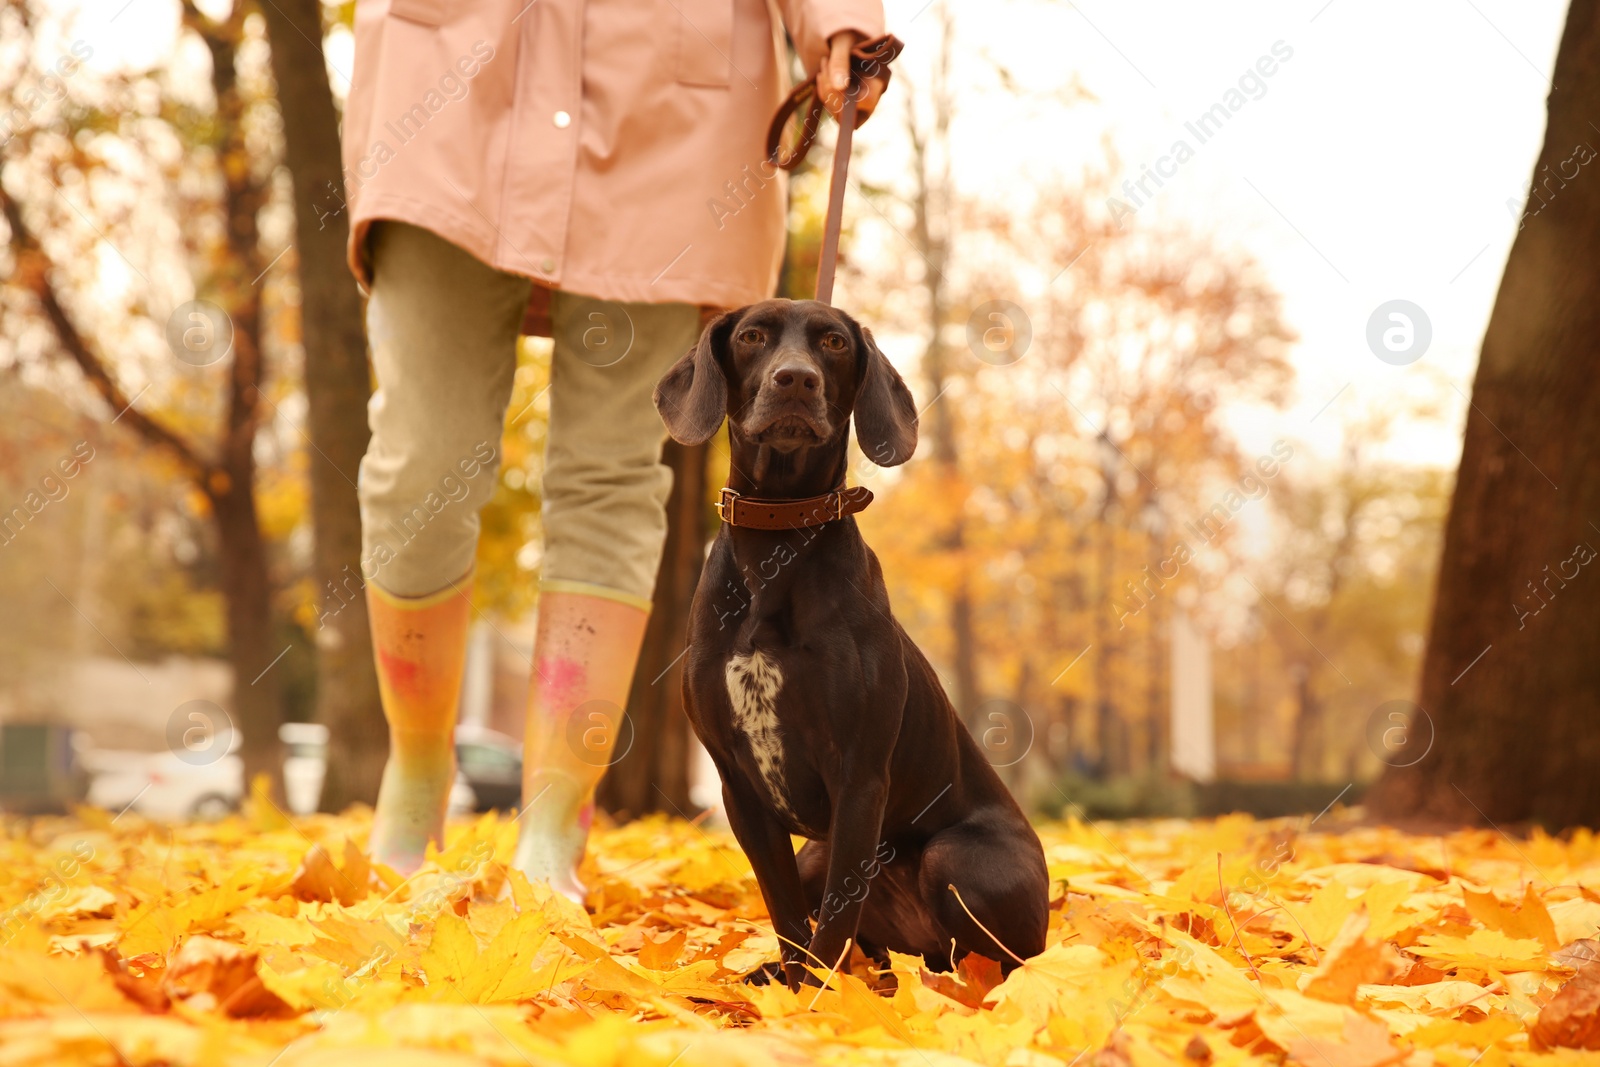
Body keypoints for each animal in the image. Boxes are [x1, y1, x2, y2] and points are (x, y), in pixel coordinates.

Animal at [652, 295, 1049, 991]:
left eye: (834, 343)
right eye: (753, 336)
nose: (796, 380)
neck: (778, 543)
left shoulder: (859, 778)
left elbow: (834, 919)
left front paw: (819, 999)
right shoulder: (738, 788)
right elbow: (786, 909)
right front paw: (788, 990)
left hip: (957, 859)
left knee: (994, 960)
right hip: (823, 856)